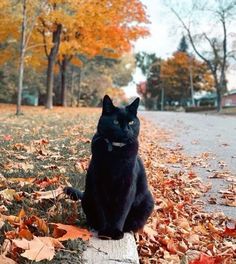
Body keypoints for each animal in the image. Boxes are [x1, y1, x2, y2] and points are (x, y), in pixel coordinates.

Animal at [64, 95, 154, 239]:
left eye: (131, 122)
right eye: (116, 122)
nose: (126, 130)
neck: (116, 152)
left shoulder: (127, 186)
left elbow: (121, 211)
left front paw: (116, 232)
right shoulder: (98, 185)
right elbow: (102, 210)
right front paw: (106, 232)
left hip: (148, 201)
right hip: (87, 198)